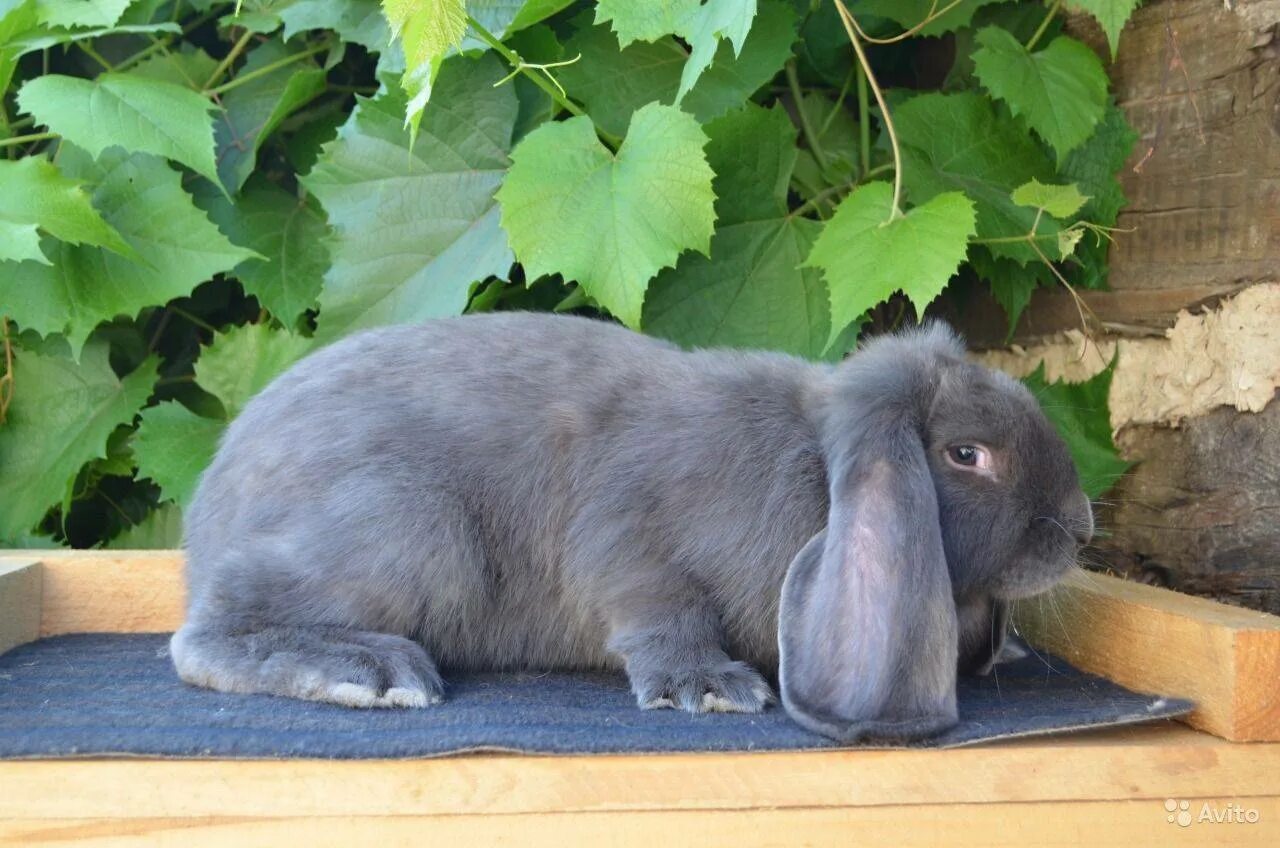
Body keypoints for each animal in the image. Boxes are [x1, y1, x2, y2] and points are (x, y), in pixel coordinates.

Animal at [172, 313, 1090, 742]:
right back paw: (367, 672)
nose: (1081, 526)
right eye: (967, 454)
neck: (810, 462)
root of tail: (207, 513)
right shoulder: (633, 546)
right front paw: (707, 688)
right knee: (211, 631)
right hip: (410, 532)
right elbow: (658, 611)